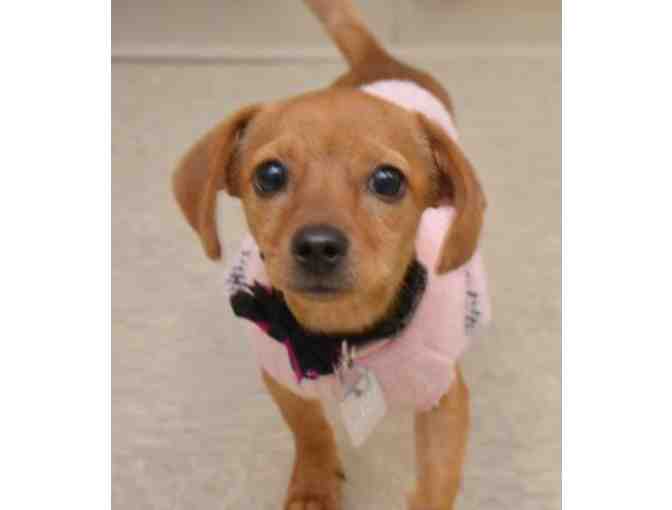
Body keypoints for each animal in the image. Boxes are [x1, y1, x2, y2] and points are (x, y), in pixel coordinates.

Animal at [173, 1, 490, 509]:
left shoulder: (444, 401)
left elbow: (437, 481)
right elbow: (309, 428)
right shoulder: (280, 376)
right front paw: (314, 485)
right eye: (270, 175)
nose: (318, 245)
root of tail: (381, 62)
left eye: (387, 181)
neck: (339, 339)